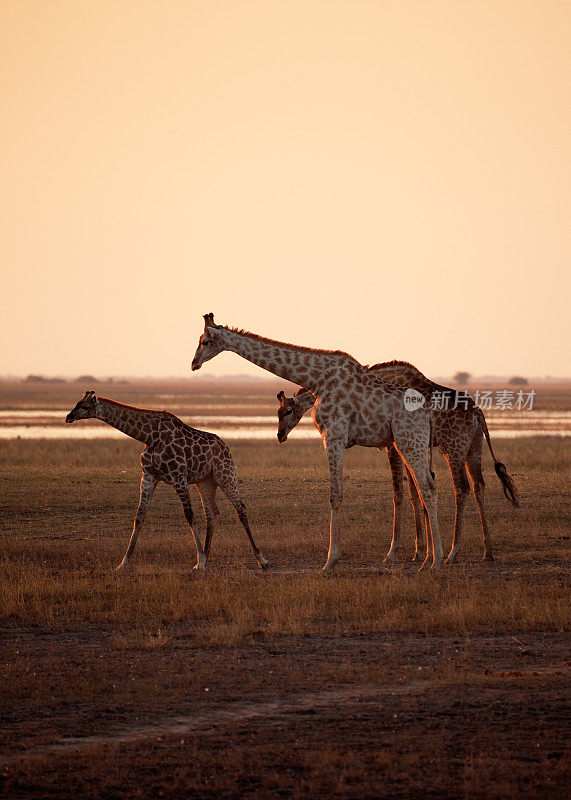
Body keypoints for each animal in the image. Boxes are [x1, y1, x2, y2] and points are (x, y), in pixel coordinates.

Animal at [63, 390, 270, 572]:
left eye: (85, 406)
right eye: (76, 403)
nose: (68, 417)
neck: (149, 436)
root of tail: (225, 446)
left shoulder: (179, 477)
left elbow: (189, 515)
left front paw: (200, 561)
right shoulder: (148, 477)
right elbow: (139, 517)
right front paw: (123, 563)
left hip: (225, 474)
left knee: (240, 508)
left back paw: (261, 560)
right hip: (205, 481)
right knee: (211, 513)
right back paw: (208, 556)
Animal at [192, 316, 442, 572]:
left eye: (205, 341)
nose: (194, 364)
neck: (317, 380)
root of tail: (427, 412)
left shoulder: (333, 435)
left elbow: (335, 495)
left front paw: (330, 560)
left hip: (408, 442)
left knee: (426, 487)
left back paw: (435, 561)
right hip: (414, 444)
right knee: (426, 486)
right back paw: (429, 557)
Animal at [276, 356, 520, 564]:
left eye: (287, 411)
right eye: (278, 413)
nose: (280, 435)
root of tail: (480, 414)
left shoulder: (393, 445)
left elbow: (400, 493)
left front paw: (395, 551)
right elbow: (415, 493)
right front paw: (421, 551)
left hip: (454, 448)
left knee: (462, 487)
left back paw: (453, 553)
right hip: (474, 448)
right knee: (479, 485)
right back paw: (487, 552)